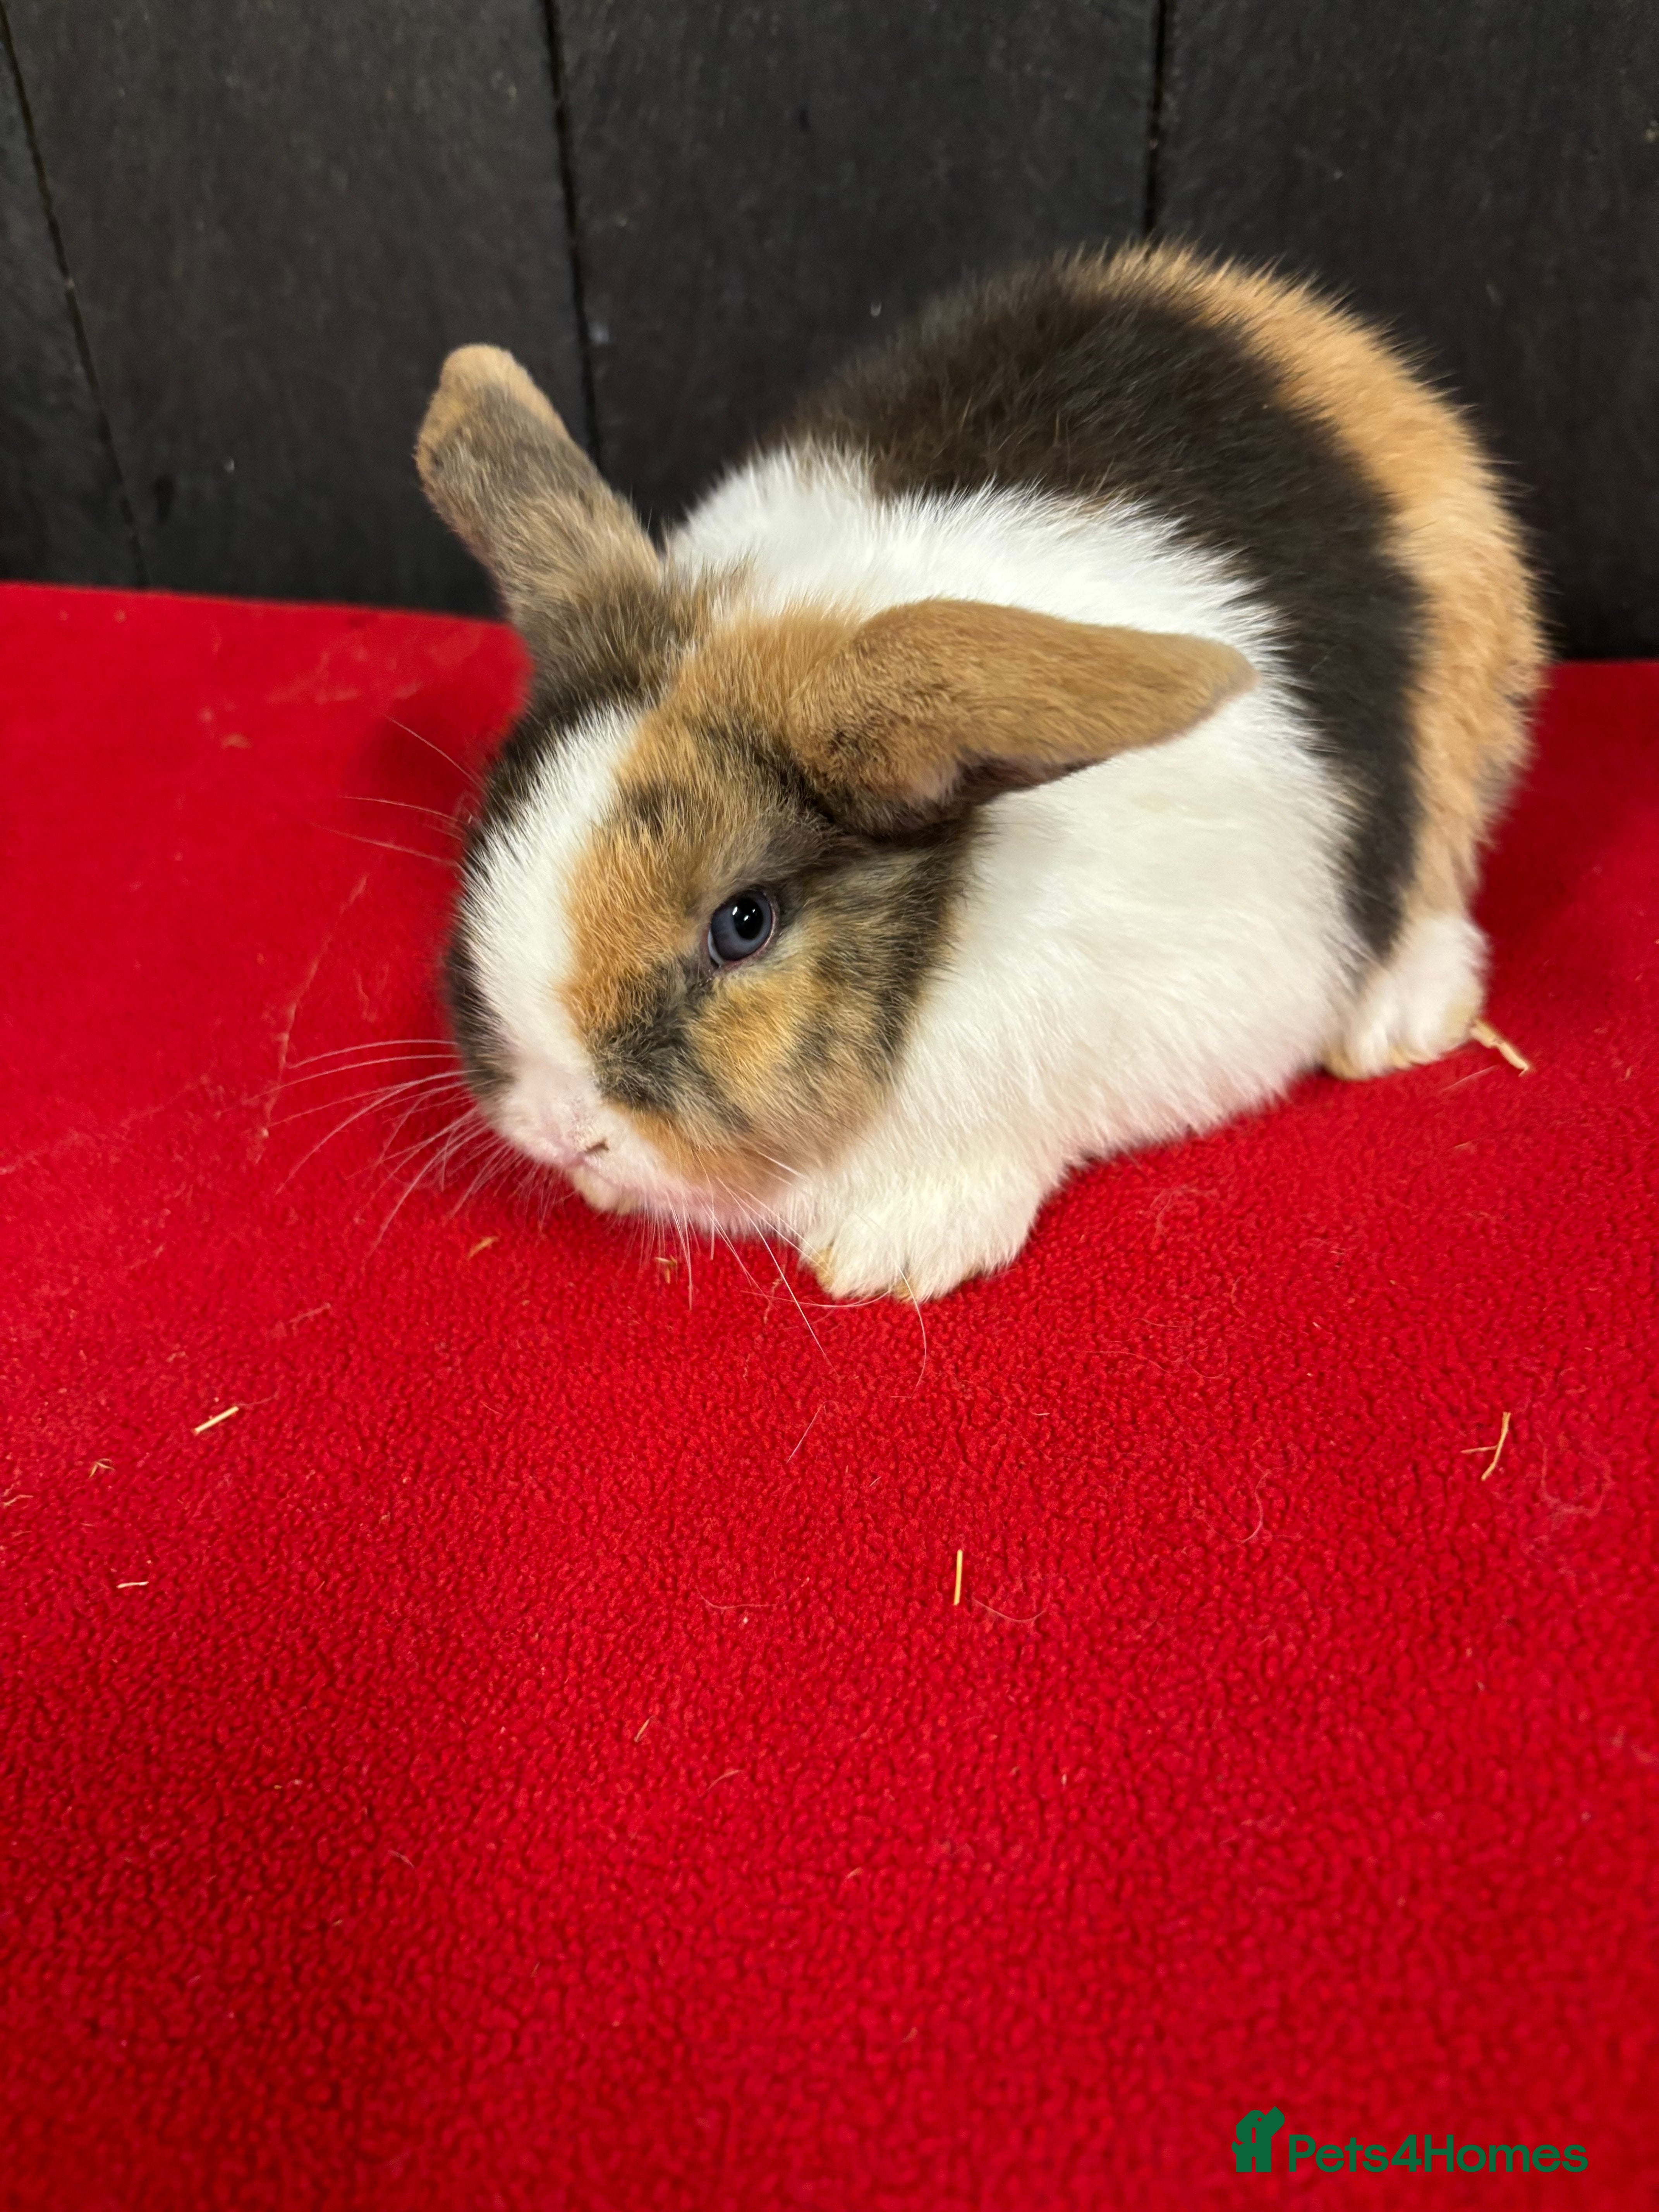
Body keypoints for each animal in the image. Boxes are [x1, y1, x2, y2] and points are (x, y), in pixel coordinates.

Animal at [415, 241, 1544, 1301]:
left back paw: (1397, 1022)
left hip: (1465, 715)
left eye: (744, 923)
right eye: (492, 832)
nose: (561, 1129)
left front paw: (890, 1258)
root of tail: (1317, 338)